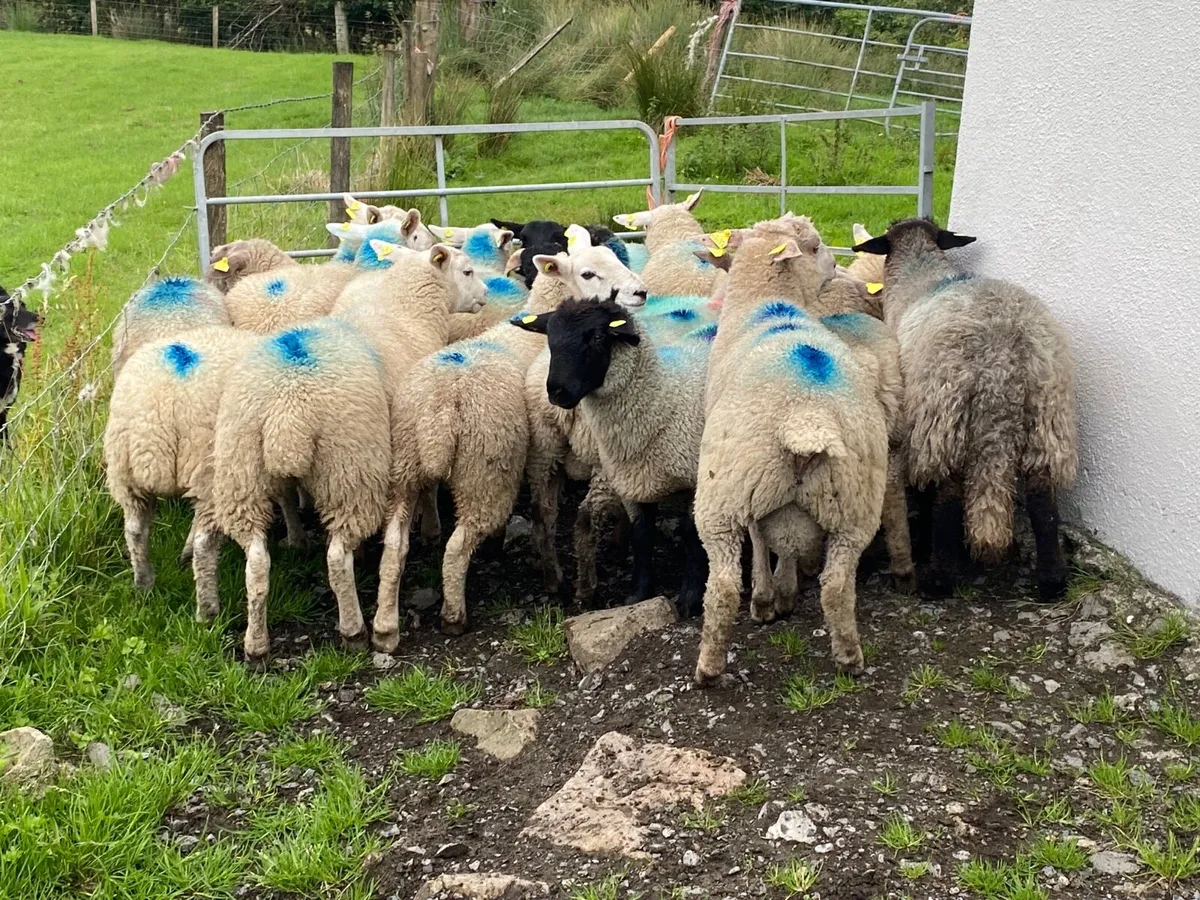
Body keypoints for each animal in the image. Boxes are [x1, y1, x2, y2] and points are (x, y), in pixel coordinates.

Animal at [211, 244, 486, 664]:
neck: (406, 309)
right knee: (337, 556)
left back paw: (256, 645)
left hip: (241, 471)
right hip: (349, 468)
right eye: (468, 271)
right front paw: (430, 527)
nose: (486, 295)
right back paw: (354, 630)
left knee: (256, 561)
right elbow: (421, 498)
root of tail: (285, 406)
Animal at [371, 231, 647, 641]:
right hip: (485, 472)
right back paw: (454, 615)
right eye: (588, 273)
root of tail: (438, 412)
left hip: (405, 468)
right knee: (458, 546)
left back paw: (385, 628)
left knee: (394, 545)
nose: (640, 292)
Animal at [513, 299, 710, 618]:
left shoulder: (694, 476)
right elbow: (642, 536)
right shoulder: (632, 480)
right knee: (563, 515)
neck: (664, 396)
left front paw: (690, 599)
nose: (557, 392)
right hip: (552, 456)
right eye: (550, 337)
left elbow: (692, 536)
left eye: (596, 337)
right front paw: (638, 595)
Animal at [852, 217, 1077, 599]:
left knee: (947, 491)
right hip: (1047, 413)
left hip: (944, 412)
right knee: (1041, 496)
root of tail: (1003, 359)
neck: (920, 273)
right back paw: (1052, 582)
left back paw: (938, 578)